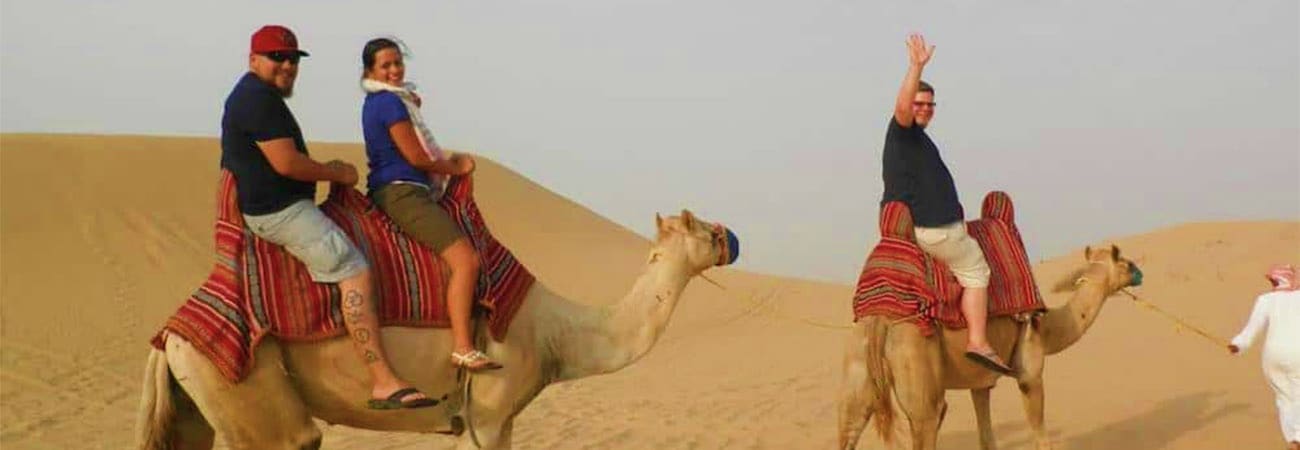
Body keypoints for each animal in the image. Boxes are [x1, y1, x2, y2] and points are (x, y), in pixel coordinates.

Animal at [136, 210, 739, 450]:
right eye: (704, 230)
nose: (731, 237)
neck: (555, 334)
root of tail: (170, 334)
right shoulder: (487, 413)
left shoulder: (501, 421)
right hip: (247, 390)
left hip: (196, 405)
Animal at [838, 244, 1144, 450]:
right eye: (1126, 262)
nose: (1140, 273)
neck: (1049, 326)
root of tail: (880, 321)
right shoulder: (1030, 373)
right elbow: (1041, 436)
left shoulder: (981, 382)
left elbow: (987, 437)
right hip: (916, 365)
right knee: (928, 419)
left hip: (858, 365)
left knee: (849, 426)